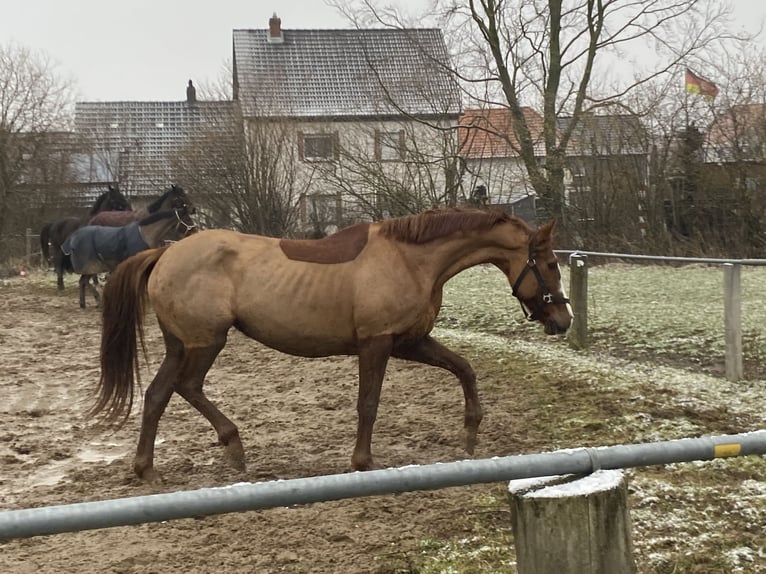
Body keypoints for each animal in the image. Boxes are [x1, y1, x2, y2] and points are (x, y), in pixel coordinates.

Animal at [61, 205, 197, 309]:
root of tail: (72, 239)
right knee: (84, 281)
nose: (195, 231)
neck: (145, 234)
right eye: (187, 218)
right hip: (92, 266)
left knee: (82, 282)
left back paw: (84, 303)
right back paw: (98, 300)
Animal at [93, 207, 572, 483]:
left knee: (157, 395)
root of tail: (165, 253)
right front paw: (363, 462)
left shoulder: (410, 342)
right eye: (550, 264)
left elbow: (464, 368)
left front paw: (471, 432)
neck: (411, 259)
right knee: (187, 387)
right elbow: (369, 404)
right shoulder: (377, 344)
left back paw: (147, 470)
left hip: (181, 345)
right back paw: (233, 447)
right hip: (205, 342)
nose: (564, 321)